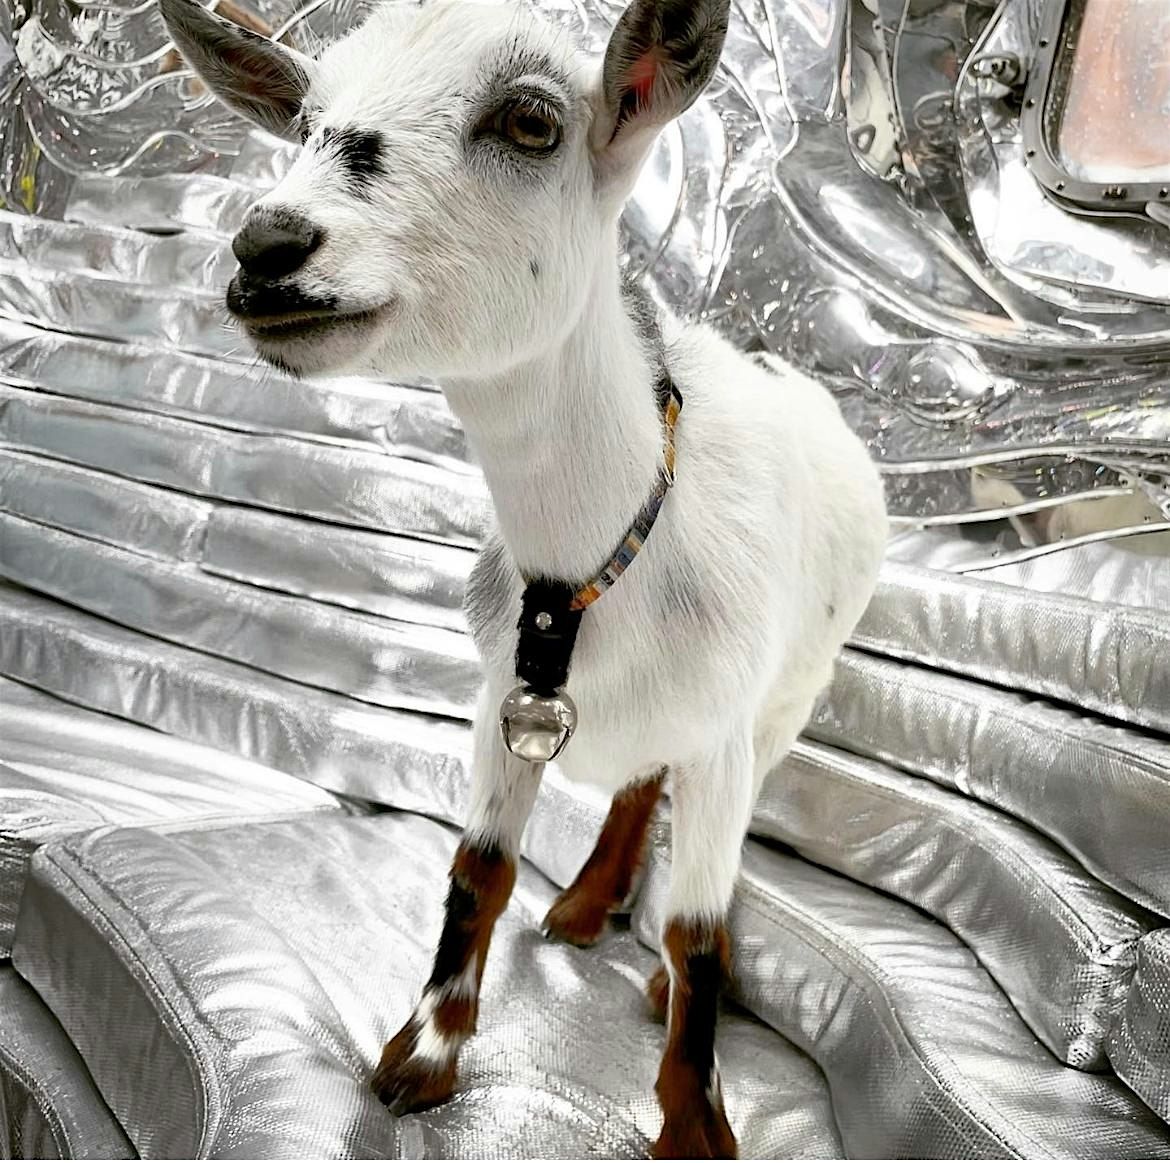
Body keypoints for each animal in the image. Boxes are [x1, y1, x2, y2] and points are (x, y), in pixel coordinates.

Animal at [161, 0, 889, 1154]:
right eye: (307, 120)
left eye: (532, 123)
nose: (267, 246)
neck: (593, 565)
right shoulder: (502, 696)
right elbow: (480, 871)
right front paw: (424, 1054)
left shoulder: (726, 726)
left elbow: (695, 927)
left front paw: (696, 1119)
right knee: (638, 782)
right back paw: (587, 906)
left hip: (793, 690)